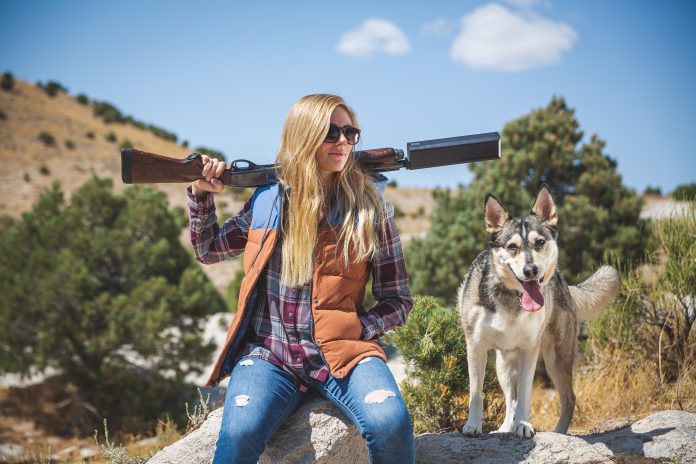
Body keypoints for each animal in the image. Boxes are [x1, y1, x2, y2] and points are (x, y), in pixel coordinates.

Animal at [456, 183, 620, 436]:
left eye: (540, 242)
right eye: (512, 247)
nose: (531, 270)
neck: (512, 299)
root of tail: (563, 282)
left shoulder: (529, 350)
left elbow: (525, 394)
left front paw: (523, 426)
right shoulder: (475, 346)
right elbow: (476, 393)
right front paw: (473, 425)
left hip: (556, 358)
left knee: (569, 399)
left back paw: (558, 432)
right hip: (503, 365)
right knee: (510, 400)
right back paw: (505, 428)